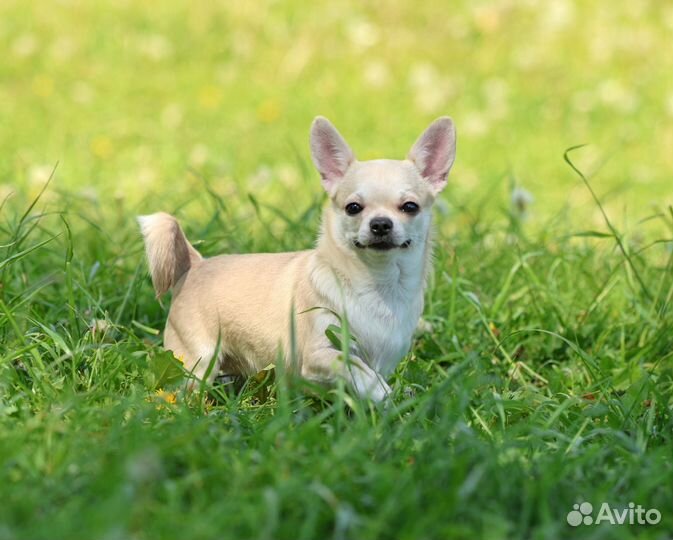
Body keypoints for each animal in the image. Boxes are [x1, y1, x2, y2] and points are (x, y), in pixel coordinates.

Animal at [141, 116, 456, 402]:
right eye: (353, 208)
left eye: (410, 207)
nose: (380, 224)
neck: (377, 284)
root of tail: (196, 263)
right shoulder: (319, 352)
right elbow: (355, 367)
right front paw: (382, 393)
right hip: (195, 361)